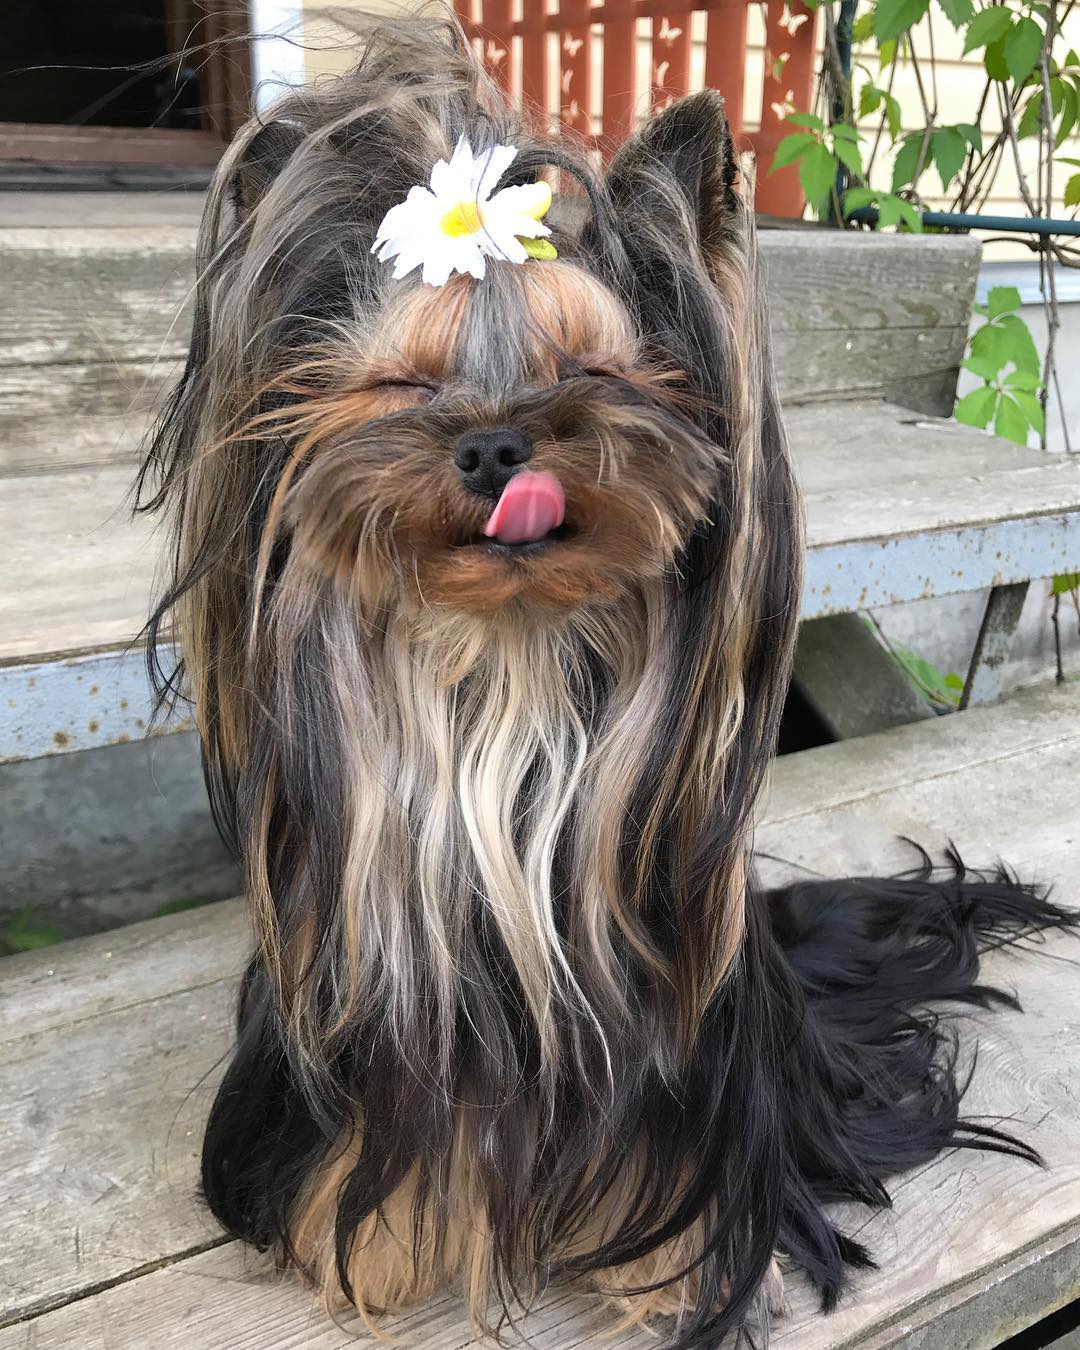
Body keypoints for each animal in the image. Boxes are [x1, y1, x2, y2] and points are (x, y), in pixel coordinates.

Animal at [139, 15, 1074, 1344]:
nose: (496, 444)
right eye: (402, 385)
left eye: (593, 368)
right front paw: (378, 1251)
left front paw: (665, 1273)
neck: (507, 671)